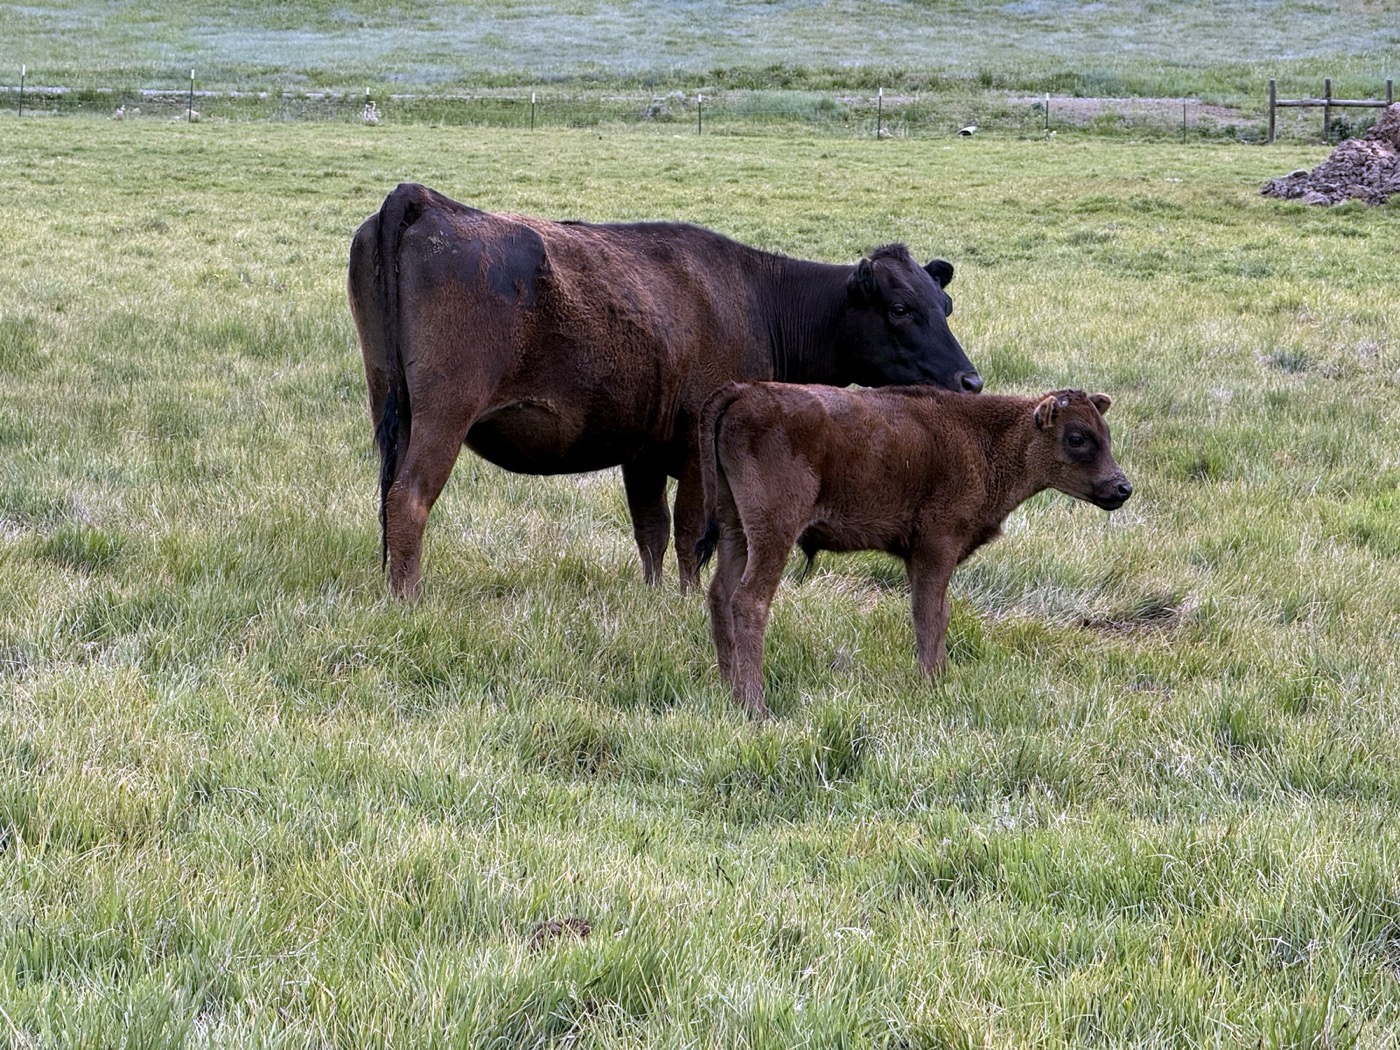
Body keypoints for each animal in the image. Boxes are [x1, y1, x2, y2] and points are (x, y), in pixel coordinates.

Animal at [348, 182, 982, 599]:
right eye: (900, 308)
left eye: (945, 303)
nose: (970, 381)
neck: (758, 298)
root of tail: (424, 200)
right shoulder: (699, 447)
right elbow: (689, 533)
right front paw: (685, 603)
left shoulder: (643, 451)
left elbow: (650, 530)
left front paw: (654, 601)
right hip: (445, 414)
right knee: (409, 498)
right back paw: (408, 599)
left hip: (391, 404)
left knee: (388, 495)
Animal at [696, 384, 1132, 717]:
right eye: (1076, 438)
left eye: (1107, 435)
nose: (1122, 487)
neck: (981, 436)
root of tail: (745, 392)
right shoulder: (936, 547)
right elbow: (928, 614)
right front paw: (932, 683)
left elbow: (938, 612)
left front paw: (940, 678)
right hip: (773, 532)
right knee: (749, 599)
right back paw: (755, 706)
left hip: (736, 529)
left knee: (719, 593)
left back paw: (728, 688)